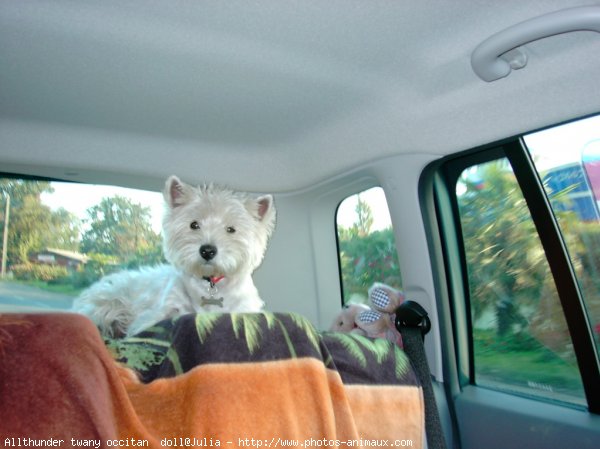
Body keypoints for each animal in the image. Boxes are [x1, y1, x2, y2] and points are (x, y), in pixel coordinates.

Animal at [72, 175, 276, 336]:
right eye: (194, 224)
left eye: (231, 229)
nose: (207, 251)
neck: (209, 285)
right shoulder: (159, 311)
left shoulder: (244, 309)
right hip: (108, 300)